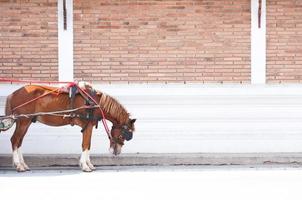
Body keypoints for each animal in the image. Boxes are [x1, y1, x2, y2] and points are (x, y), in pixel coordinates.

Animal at [3, 83, 136, 172]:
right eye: (124, 134)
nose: (117, 152)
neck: (94, 102)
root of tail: (13, 93)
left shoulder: (89, 126)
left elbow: (88, 145)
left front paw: (89, 164)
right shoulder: (87, 126)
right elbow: (85, 145)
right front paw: (85, 166)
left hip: (26, 122)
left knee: (19, 142)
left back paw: (23, 164)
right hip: (23, 121)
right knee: (15, 140)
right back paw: (18, 165)